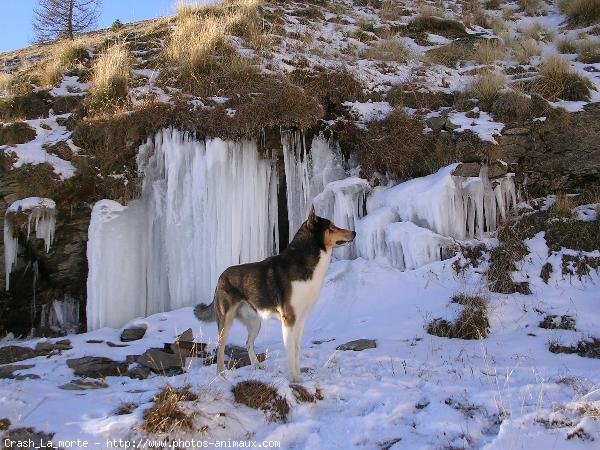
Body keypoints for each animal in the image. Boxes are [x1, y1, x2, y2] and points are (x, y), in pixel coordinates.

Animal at [196, 206, 356, 382]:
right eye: (332, 227)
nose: (354, 232)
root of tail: (220, 277)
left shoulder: (301, 320)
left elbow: (296, 350)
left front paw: (299, 378)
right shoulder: (289, 319)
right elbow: (290, 352)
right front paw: (294, 380)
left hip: (255, 323)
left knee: (248, 343)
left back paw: (257, 367)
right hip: (226, 322)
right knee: (220, 348)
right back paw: (221, 376)